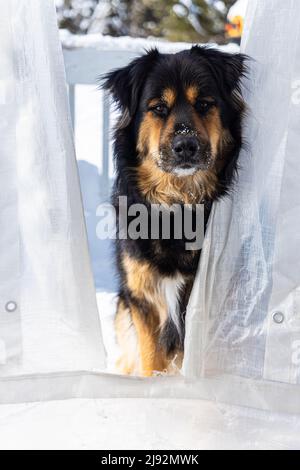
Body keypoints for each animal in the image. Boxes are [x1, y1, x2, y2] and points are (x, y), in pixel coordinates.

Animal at [102, 46, 247, 378]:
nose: (185, 145)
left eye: (204, 104)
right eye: (158, 108)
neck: (179, 202)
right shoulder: (142, 298)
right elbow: (150, 361)